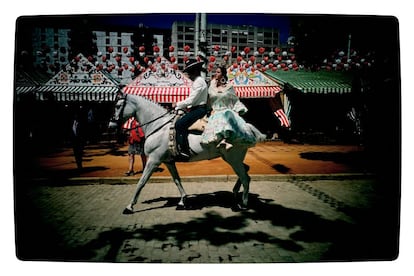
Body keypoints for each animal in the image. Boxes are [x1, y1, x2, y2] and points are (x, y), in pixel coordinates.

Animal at [109, 93, 266, 213]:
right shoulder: (168, 161)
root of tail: (246, 127)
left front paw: (129, 206)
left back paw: (243, 204)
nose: (110, 125)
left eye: (117, 106)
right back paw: (235, 194)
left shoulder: (154, 160)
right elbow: (177, 180)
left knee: (246, 178)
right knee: (245, 171)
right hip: (233, 159)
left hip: (233, 159)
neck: (159, 127)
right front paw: (182, 201)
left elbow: (141, 182)